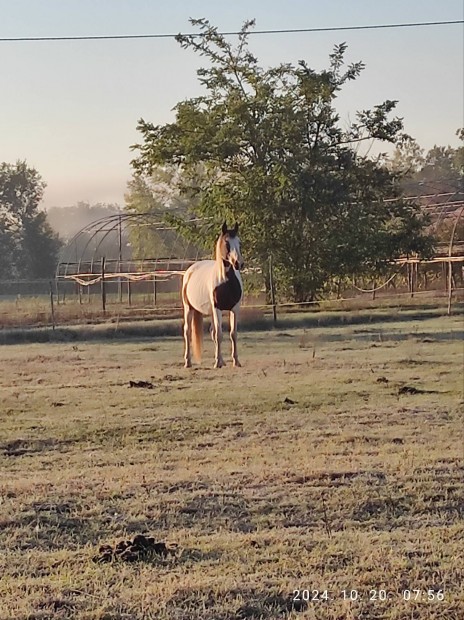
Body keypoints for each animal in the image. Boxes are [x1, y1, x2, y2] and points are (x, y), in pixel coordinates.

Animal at [181, 223, 245, 368]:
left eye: (239, 242)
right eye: (226, 242)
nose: (239, 263)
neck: (226, 282)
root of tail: (190, 271)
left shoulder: (235, 309)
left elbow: (233, 334)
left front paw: (236, 361)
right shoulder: (217, 309)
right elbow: (219, 335)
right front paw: (217, 363)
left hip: (210, 312)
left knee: (212, 331)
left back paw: (221, 360)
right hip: (189, 309)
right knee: (187, 332)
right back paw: (188, 362)